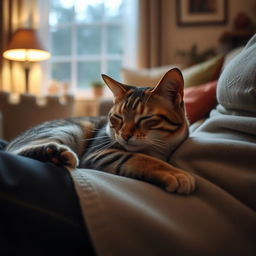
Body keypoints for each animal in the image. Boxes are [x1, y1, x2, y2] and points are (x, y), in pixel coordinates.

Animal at [5, 67, 196, 194]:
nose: (125, 135)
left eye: (145, 118)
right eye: (117, 117)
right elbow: (141, 159)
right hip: (69, 130)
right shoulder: (99, 152)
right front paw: (176, 173)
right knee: (15, 152)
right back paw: (56, 154)